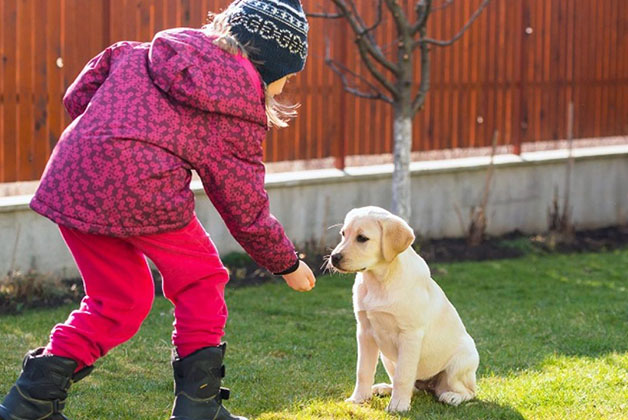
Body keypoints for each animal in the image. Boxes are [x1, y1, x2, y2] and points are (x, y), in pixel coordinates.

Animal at [332, 205, 478, 412]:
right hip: (387, 358)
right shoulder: (365, 332)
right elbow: (363, 370)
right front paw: (358, 398)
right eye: (343, 234)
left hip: (460, 361)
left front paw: (398, 406)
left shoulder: (410, 335)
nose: (334, 258)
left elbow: (403, 375)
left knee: (466, 391)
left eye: (362, 238)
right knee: (413, 387)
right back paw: (385, 388)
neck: (380, 281)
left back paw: (452, 397)